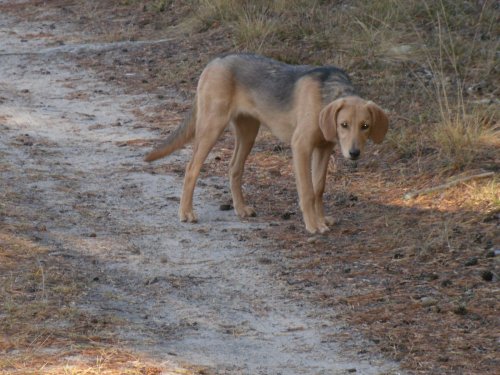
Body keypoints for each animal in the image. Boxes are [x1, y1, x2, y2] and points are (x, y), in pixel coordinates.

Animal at [146, 53, 388, 235]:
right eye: (343, 124)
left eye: (365, 126)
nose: (354, 153)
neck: (326, 95)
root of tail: (214, 62)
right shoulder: (301, 147)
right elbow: (307, 191)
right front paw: (313, 224)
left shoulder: (323, 149)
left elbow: (319, 189)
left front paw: (321, 219)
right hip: (211, 127)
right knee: (191, 168)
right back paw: (186, 212)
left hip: (248, 133)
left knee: (234, 169)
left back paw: (241, 208)